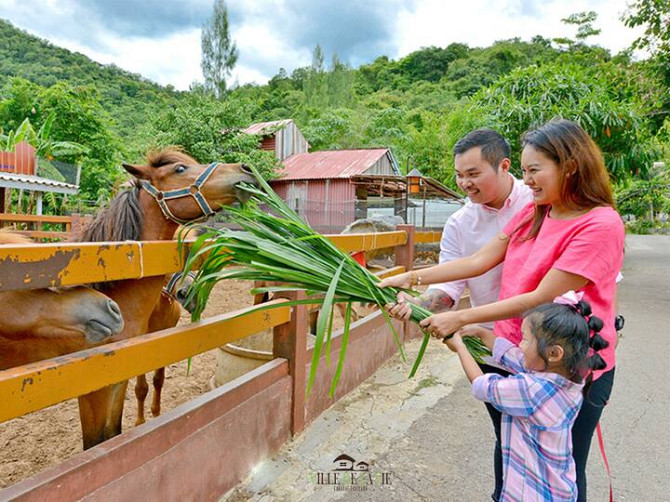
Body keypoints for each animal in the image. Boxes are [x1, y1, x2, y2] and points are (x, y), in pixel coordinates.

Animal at [73, 147, 258, 450]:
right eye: (180, 169)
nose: (245, 169)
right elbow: (138, 391)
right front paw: (140, 422)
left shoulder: (159, 341)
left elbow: (156, 382)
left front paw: (155, 415)